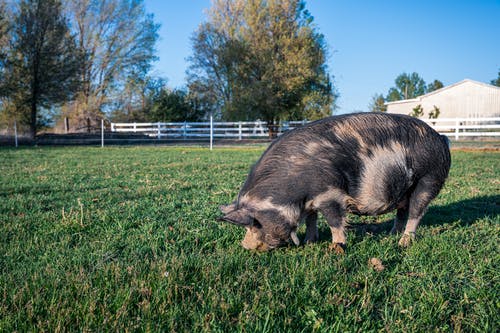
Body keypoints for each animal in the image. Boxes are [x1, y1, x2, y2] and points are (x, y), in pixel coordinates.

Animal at [218, 112, 450, 252]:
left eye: (255, 224)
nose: (245, 246)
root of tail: (441, 138)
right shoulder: (310, 201)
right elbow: (311, 220)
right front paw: (310, 243)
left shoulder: (330, 194)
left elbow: (334, 221)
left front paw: (337, 247)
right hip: (403, 189)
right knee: (402, 212)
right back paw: (390, 236)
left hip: (428, 179)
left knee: (416, 212)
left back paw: (403, 242)